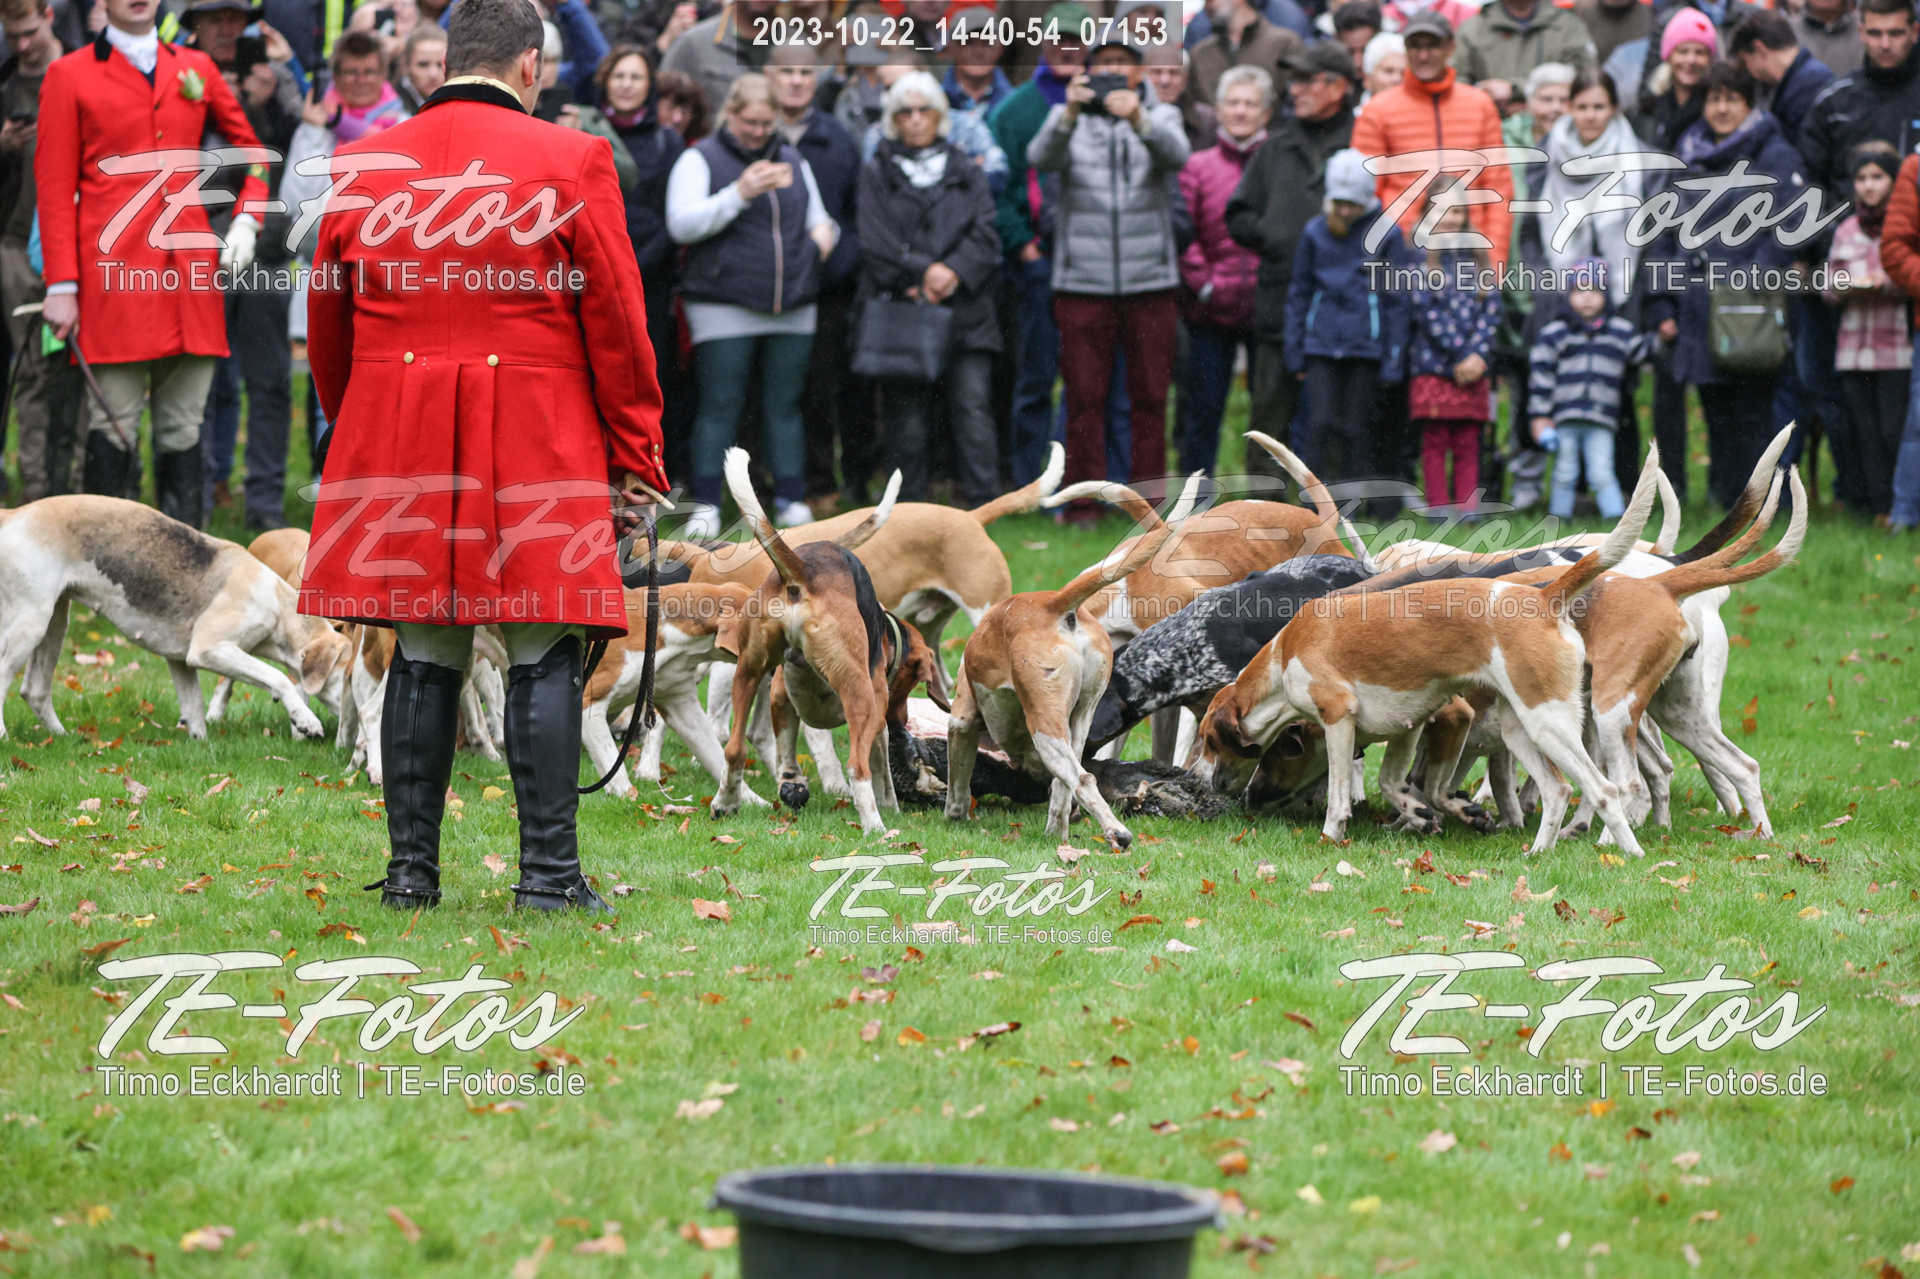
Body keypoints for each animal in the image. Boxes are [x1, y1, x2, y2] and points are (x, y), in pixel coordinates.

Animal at [0, 496, 351, 740]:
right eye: (348, 677)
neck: (278, 605)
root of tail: (15, 513)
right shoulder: (209, 649)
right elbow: (277, 677)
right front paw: (305, 720)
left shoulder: (180, 660)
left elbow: (194, 706)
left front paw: (200, 745)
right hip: (30, 624)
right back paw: (5, 737)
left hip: (54, 623)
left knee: (34, 690)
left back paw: (60, 736)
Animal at [710, 450, 905, 834]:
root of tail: (804, 572)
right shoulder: (877, 709)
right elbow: (882, 768)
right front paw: (891, 805)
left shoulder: (779, 696)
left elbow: (785, 749)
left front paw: (792, 783)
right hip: (862, 696)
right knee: (858, 768)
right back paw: (876, 827)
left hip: (748, 671)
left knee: (735, 750)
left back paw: (725, 802)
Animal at [944, 474, 1203, 848]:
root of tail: (1054, 604)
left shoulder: (962, 720)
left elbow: (958, 782)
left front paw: (955, 815)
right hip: (1077, 720)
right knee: (1069, 782)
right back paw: (1059, 832)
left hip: (1046, 729)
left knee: (1080, 780)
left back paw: (1116, 832)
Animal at [1196, 453, 1662, 856]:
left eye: (1210, 742)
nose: (1213, 785)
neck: (1283, 655)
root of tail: (1544, 598)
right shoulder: (1409, 726)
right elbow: (1395, 783)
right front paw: (1420, 813)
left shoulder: (1338, 720)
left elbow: (1339, 796)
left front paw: (1332, 836)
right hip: (1520, 730)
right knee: (1559, 790)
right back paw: (1537, 853)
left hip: (1549, 724)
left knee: (1604, 790)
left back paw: (1629, 853)